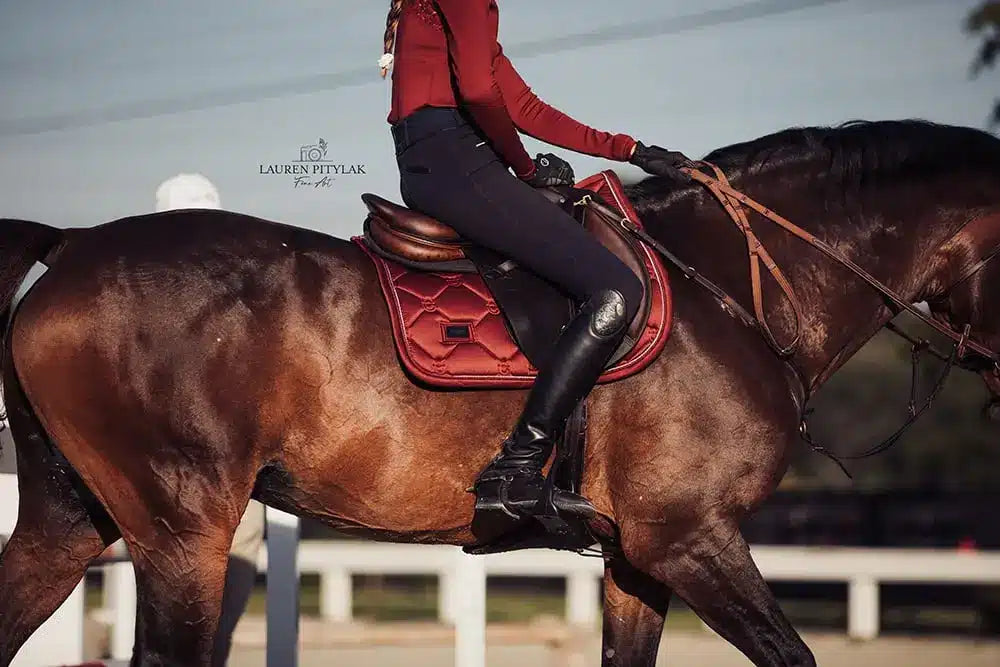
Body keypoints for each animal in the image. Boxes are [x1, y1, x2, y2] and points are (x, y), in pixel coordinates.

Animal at [1, 117, 1000, 664]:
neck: (730, 288)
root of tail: (73, 243)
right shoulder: (691, 539)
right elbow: (794, 655)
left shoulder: (640, 559)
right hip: (182, 531)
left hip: (68, 519)